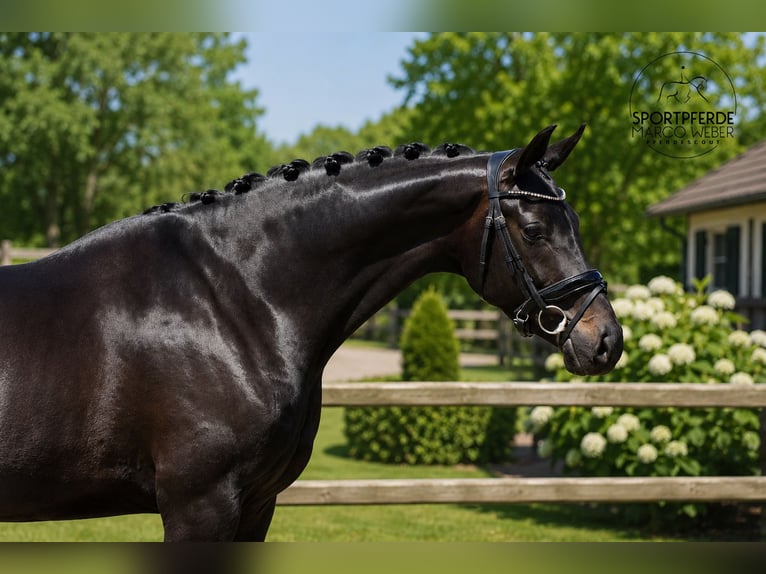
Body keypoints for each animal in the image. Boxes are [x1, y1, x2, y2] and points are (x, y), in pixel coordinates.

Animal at [0, 124, 623, 541]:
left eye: (575, 222)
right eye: (536, 230)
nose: (606, 340)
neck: (229, 297)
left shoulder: (256, 505)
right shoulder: (198, 505)